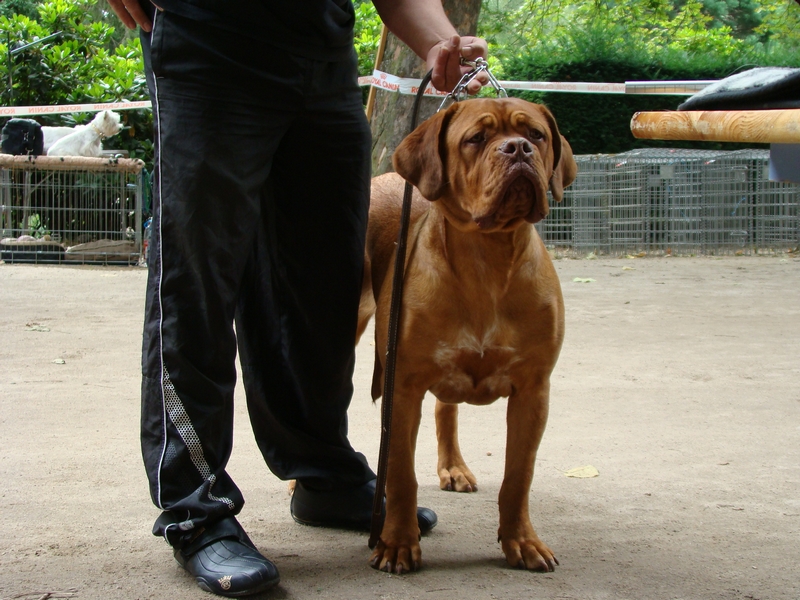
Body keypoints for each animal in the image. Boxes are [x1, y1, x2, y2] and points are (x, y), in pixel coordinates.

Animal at [356, 96, 576, 576]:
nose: (517, 150)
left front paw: (521, 541)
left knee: (447, 411)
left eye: (536, 135)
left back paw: (453, 467)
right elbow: (400, 472)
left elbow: (518, 476)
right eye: (476, 138)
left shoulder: (533, 391)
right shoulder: (402, 387)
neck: (487, 259)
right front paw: (397, 543)